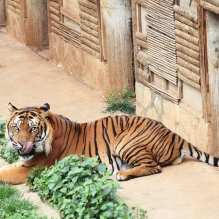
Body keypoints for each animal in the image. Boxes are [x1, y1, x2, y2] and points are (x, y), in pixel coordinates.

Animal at [0, 102, 218, 184]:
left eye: (33, 129)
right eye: (17, 128)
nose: (22, 145)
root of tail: (174, 134)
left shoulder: (31, 169)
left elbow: (5, 174)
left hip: (125, 142)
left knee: (154, 166)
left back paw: (122, 174)